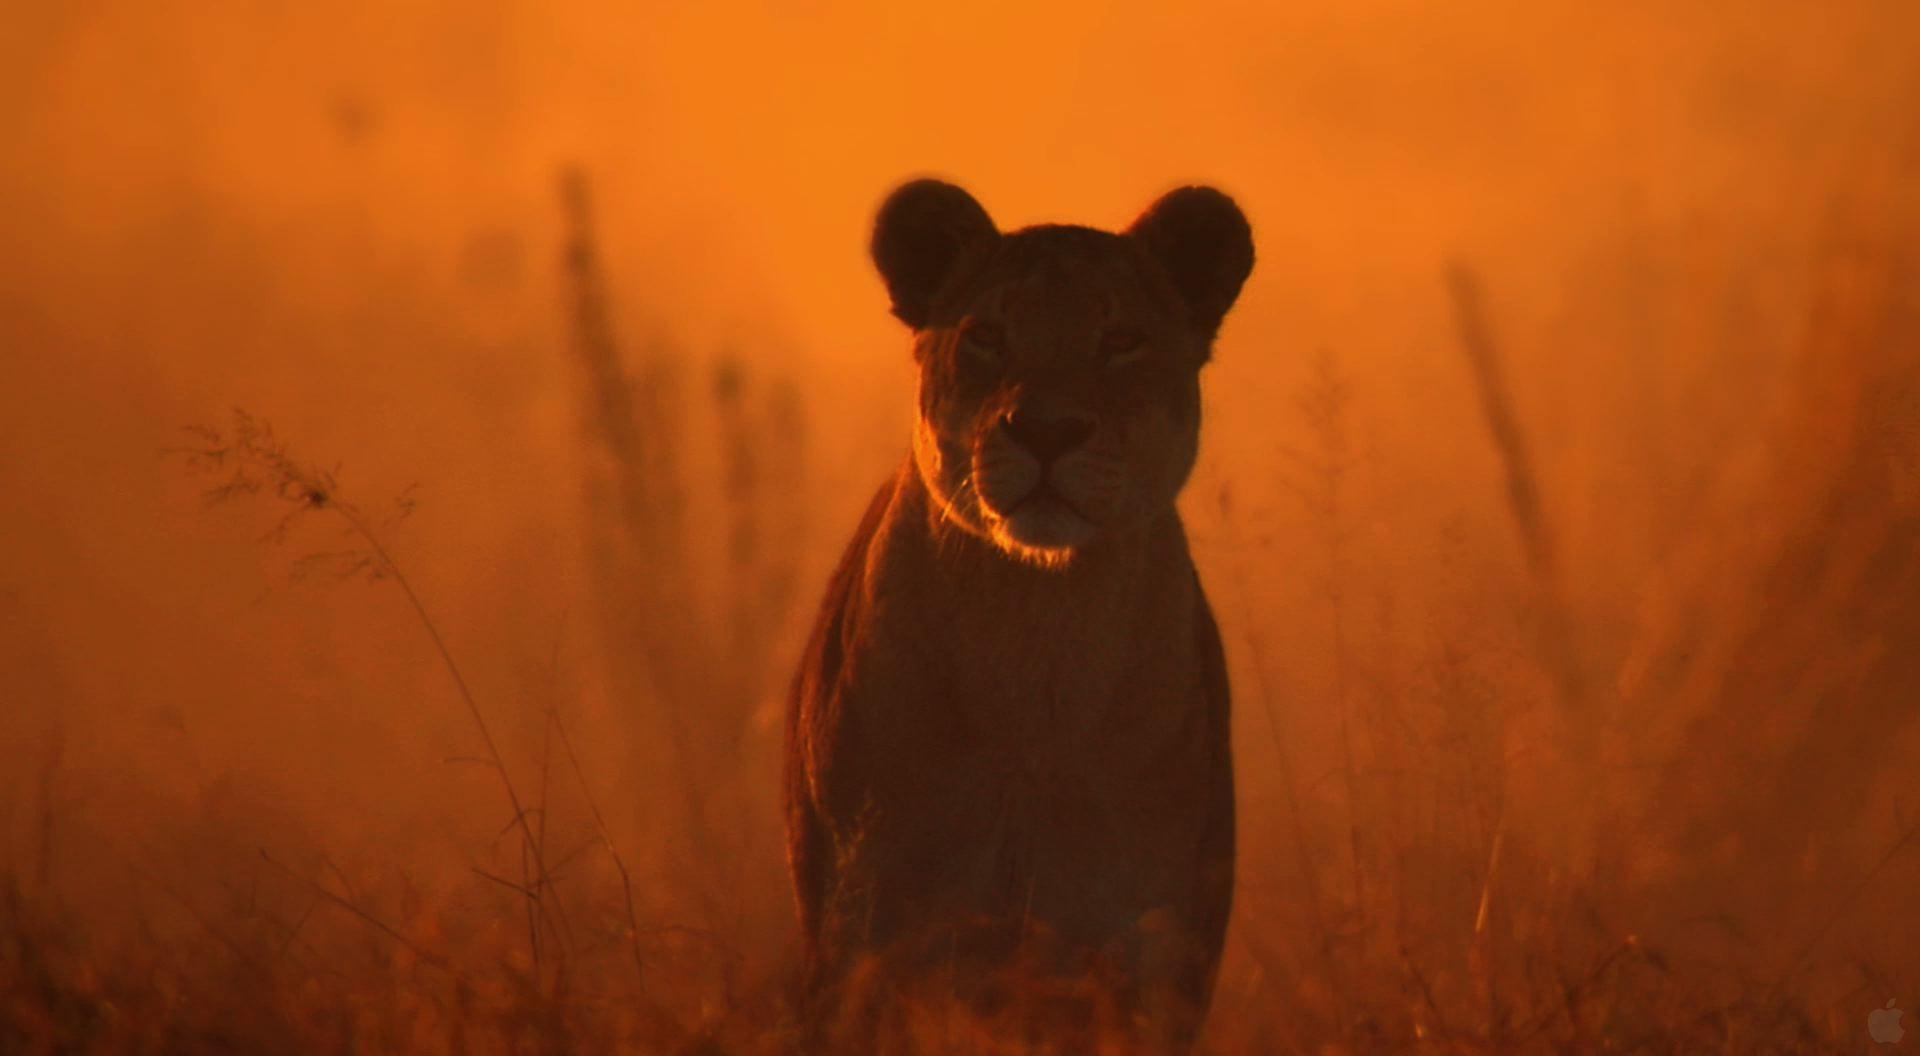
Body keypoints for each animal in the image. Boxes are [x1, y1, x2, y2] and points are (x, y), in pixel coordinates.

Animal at [785, 178, 1253, 1050]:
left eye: (1121, 340)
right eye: (986, 337)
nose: (1045, 429)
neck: (1040, 643)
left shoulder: (1149, 956)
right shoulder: (864, 945)